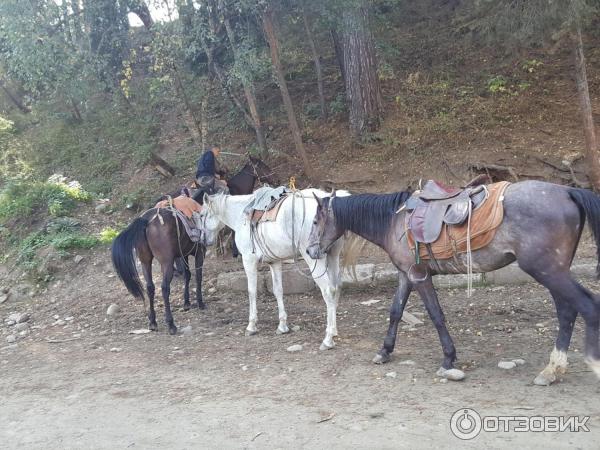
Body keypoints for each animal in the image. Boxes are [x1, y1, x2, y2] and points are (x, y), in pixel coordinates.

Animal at [202, 188, 352, 350]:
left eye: (201, 215)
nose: (203, 240)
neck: (241, 214)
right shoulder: (274, 262)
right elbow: (278, 290)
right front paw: (282, 326)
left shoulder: (248, 260)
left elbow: (252, 291)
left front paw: (251, 325)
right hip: (333, 256)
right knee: (336, 287)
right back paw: (334, 330)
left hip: (315, 259)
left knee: (328, 291)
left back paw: (328, 339)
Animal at [308, 181, 600, 384]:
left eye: (315, 220)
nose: (311, 250)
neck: (394, 220)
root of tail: (568, 191)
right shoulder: (406, 275)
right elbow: (395, 312)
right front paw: (384, 351)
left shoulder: (420, 276)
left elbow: (436, 315)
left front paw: (448, 359)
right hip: (554, 271)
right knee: (567, 311)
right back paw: (553, 369)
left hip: (548, 271)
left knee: (586, 306)